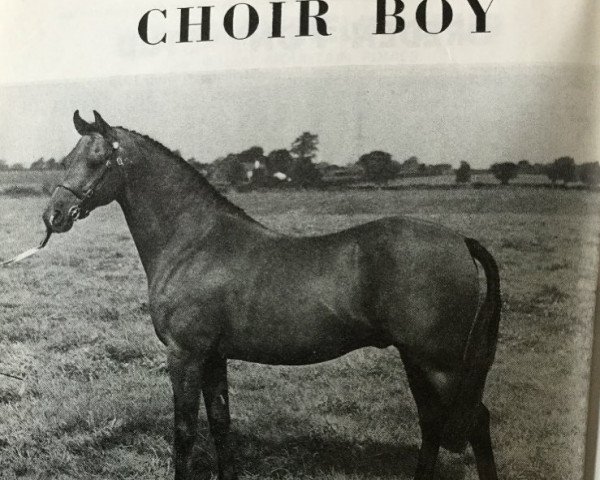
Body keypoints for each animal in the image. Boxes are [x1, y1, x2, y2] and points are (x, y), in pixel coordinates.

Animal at [43, 110, 502, 478]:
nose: (53, 216)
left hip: (440, 362)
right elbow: (221, 423)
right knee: (432, 422)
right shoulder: (213, 356)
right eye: (66, 159)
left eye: (97, 159)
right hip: (416, 359)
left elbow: (185, 431)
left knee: (475, 421)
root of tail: (460, 241)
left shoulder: (185, 354)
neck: (194, 242)